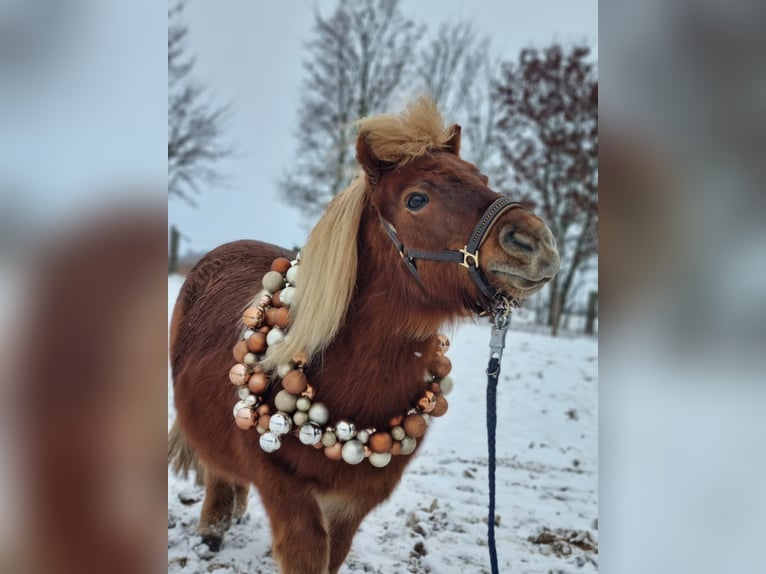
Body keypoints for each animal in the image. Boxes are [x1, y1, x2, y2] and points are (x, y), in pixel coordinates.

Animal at [168, 98, 560, 574]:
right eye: (416, 199)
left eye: (482, 179)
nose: (535, 243)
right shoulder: (287, 493)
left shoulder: (355, 501)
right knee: (216, 469)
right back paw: (212, 530)